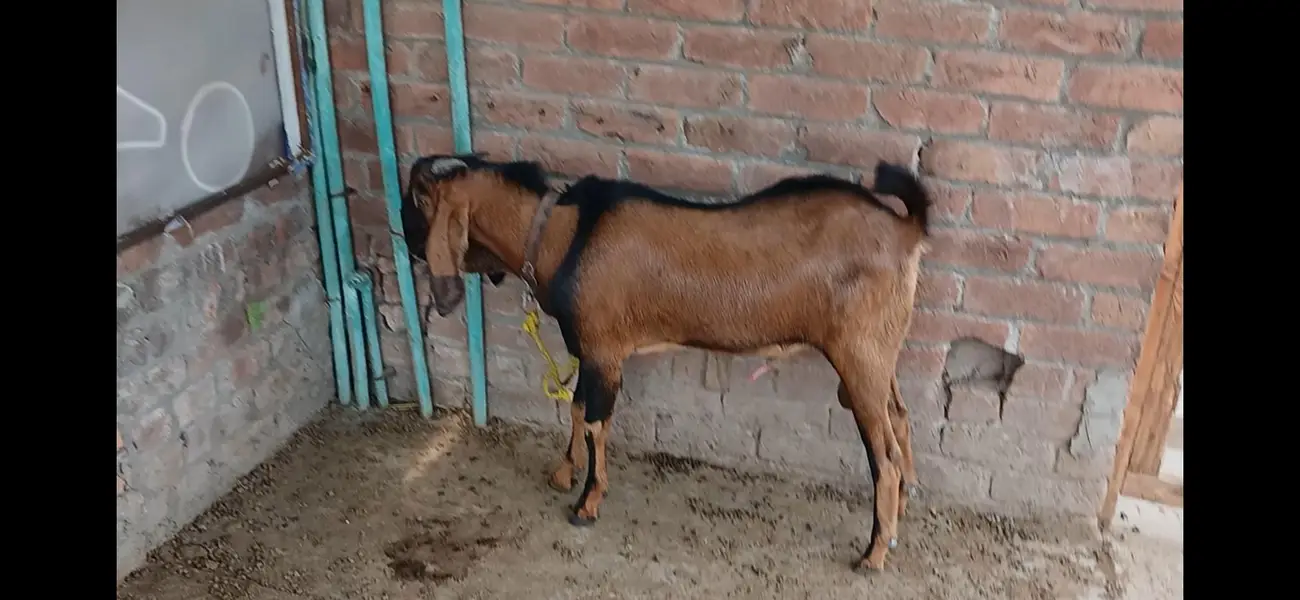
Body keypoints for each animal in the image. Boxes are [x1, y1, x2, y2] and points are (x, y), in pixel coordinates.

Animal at [402, 154, 931, 573]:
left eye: (416, 201)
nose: (406, 247)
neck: (563, 233)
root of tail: (907, 230)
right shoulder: (588, 350)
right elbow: (575, 407)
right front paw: (563, 472)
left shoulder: (604, 349)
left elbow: (594, 422)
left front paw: (587, 503)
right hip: (879, 354)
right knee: (902, 420)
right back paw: (901, 512)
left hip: (858, 354)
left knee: (883, 455)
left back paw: (874, 553)